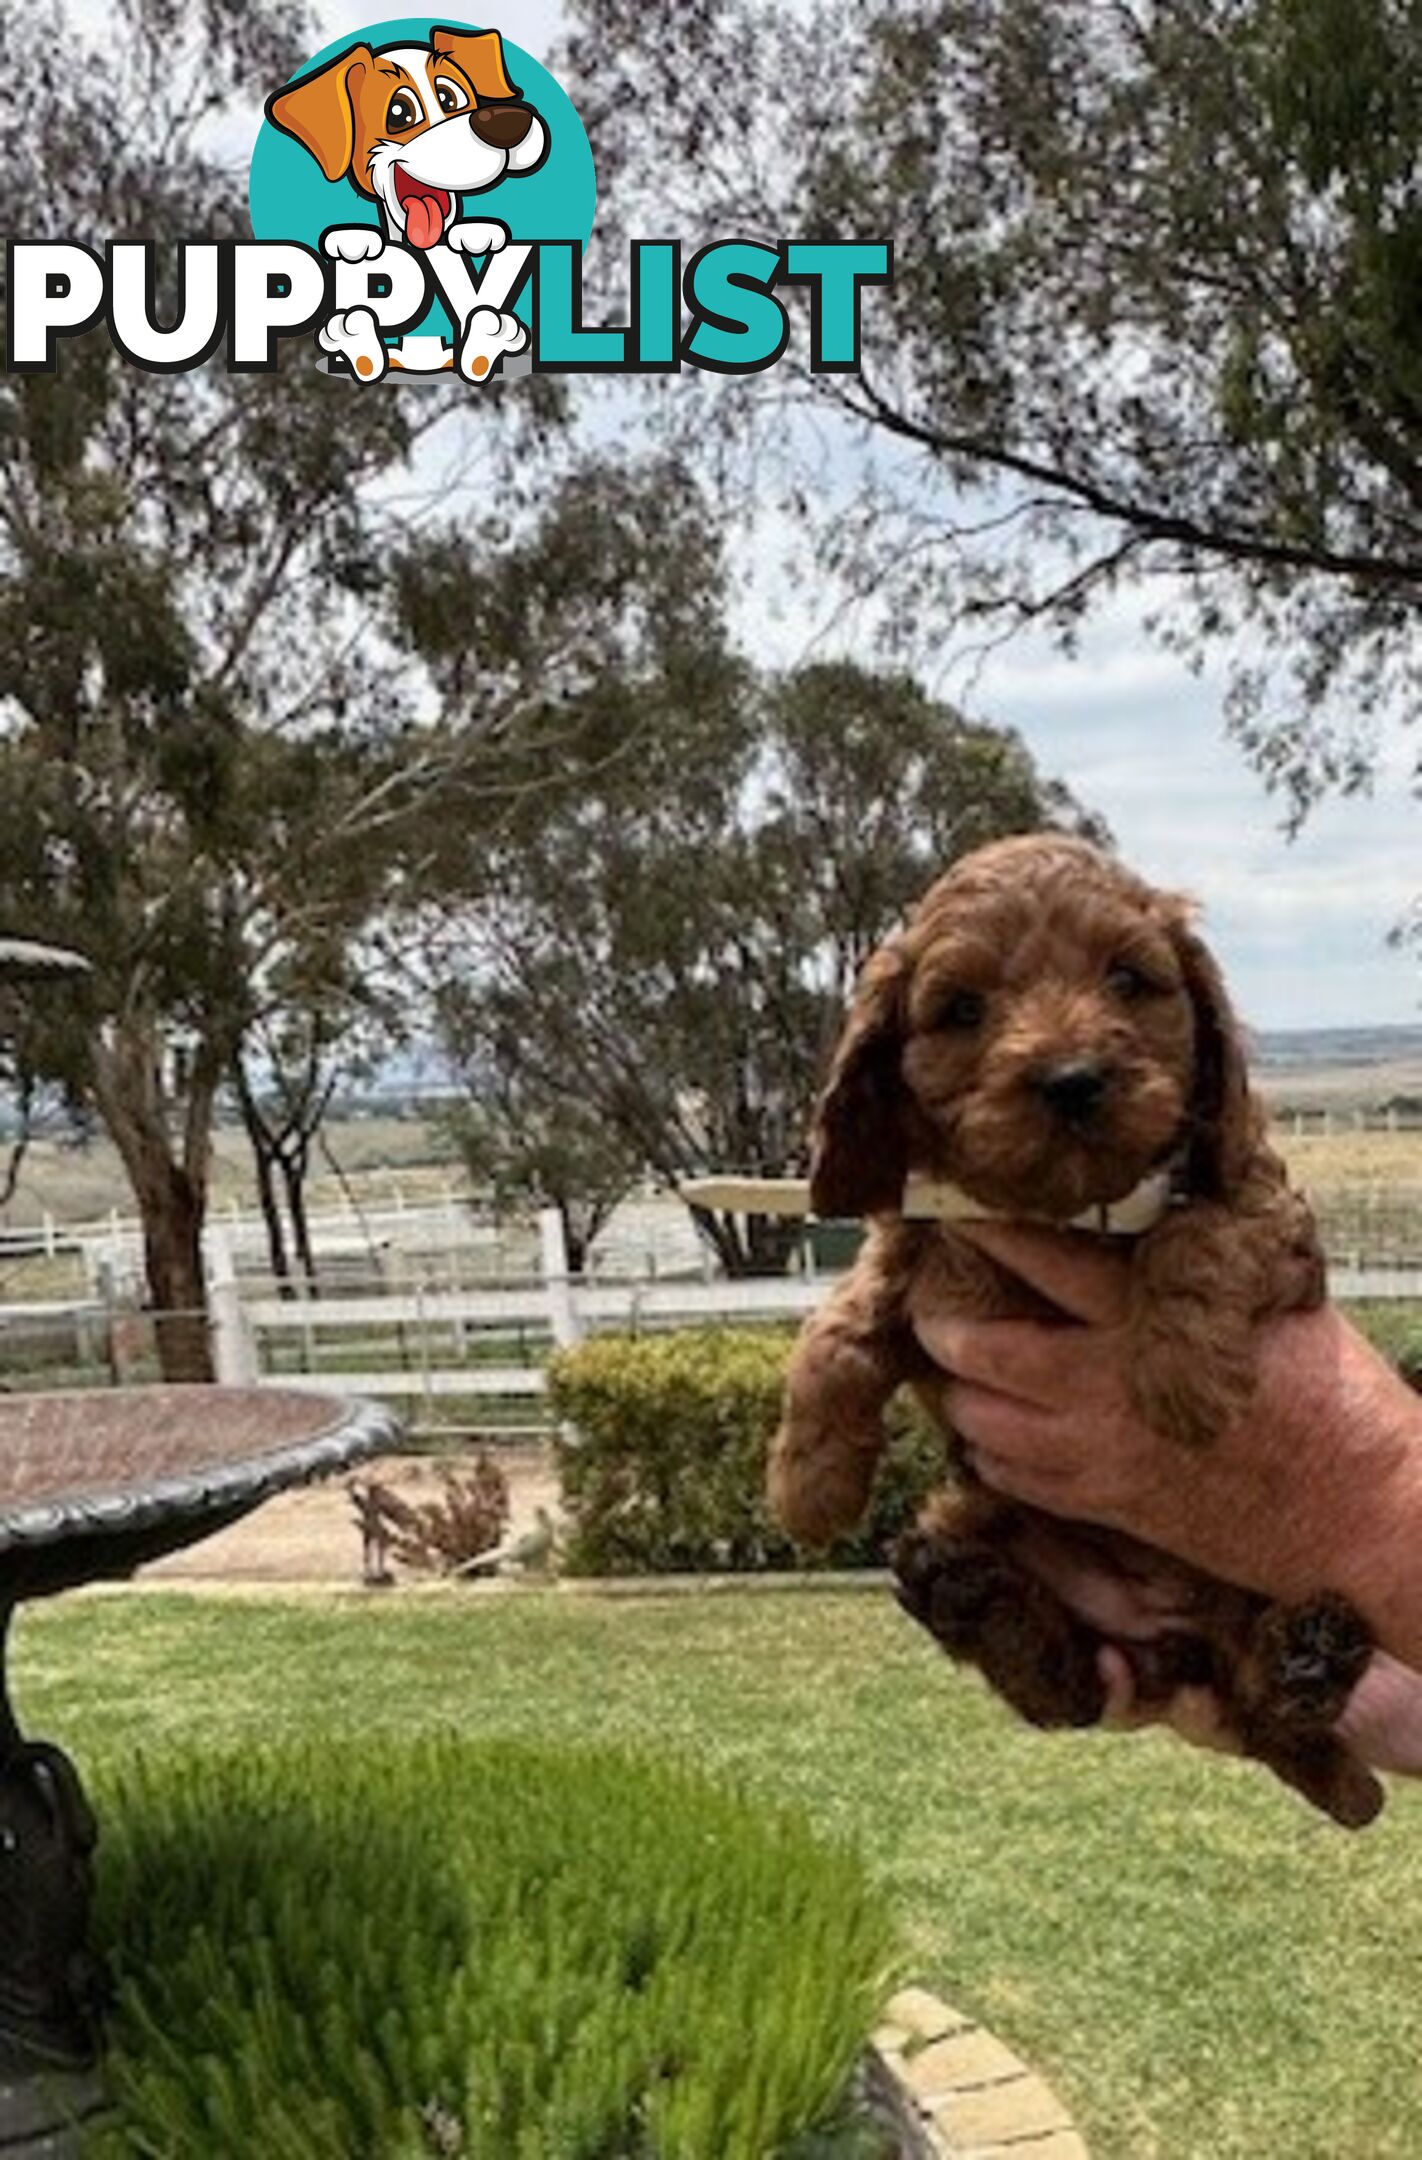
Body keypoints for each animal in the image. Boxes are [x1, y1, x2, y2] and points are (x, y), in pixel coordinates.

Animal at [769, 833, 1383, 1831]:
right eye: (962, 1008)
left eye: (1130, 979)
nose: (1071, 1079)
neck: (1058, 1214)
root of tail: (1179, 1642)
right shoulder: (917, 1257)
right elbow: (838, 1329)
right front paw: (808, 1486)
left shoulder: (1275, 1222)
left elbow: (1197, 1234)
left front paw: (1180, 1381)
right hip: (984, 1518)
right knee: (1071, 1692)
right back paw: (971, 1599)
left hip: (1253, 1574)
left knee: (1255, 1700)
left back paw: (1309, 1658)